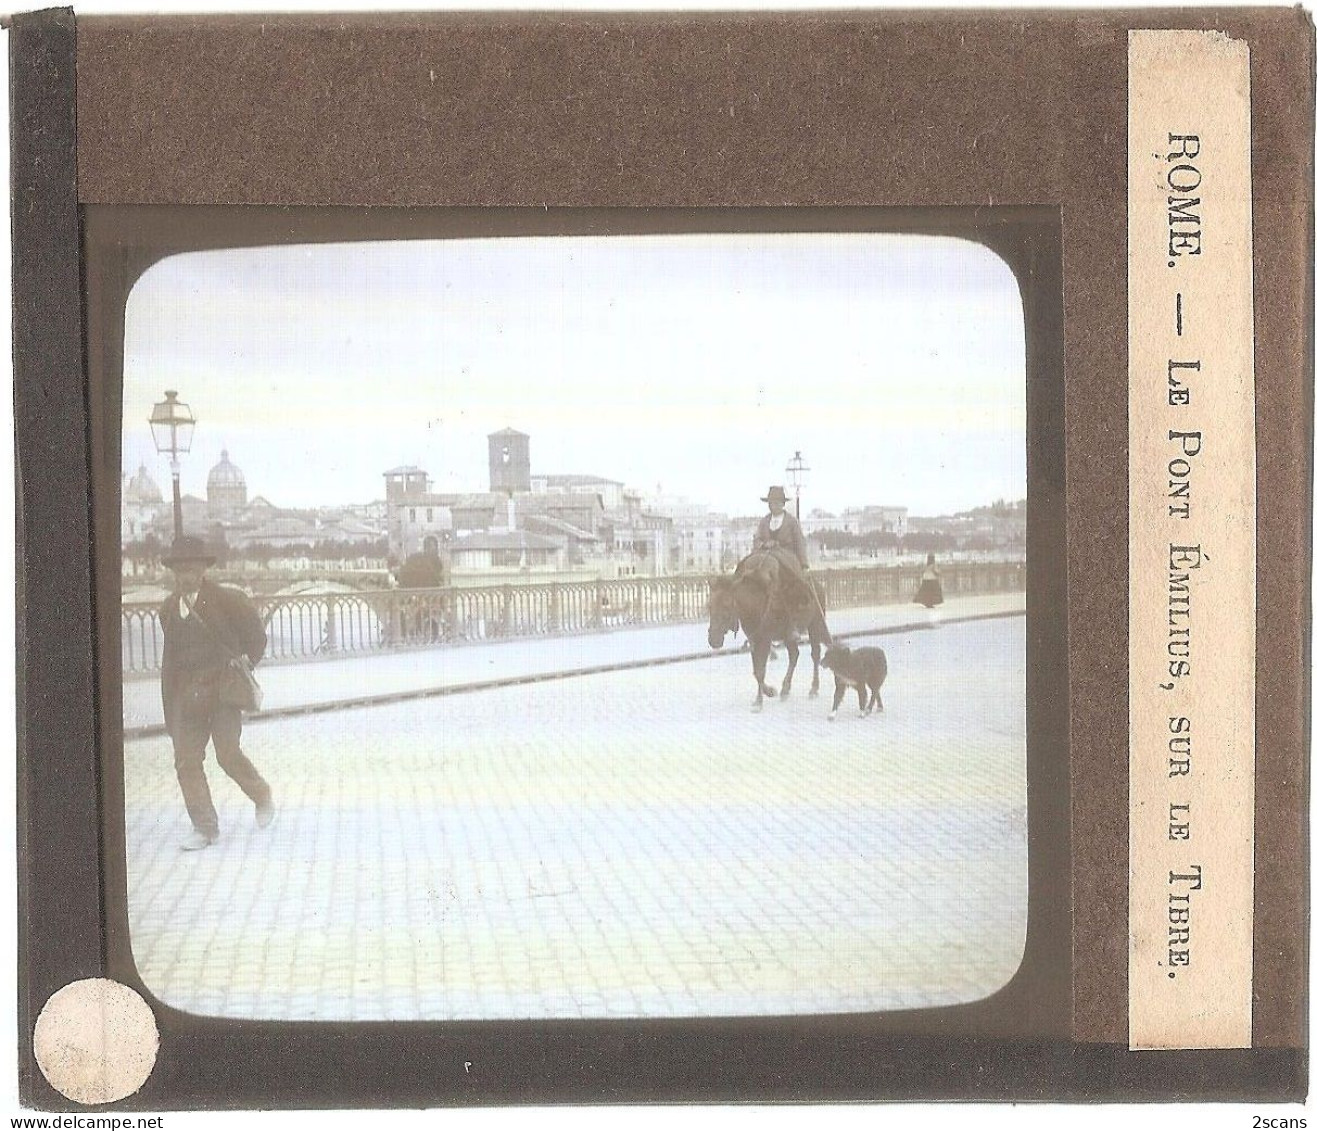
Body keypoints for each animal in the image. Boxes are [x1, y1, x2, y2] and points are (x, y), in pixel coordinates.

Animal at [711, 552, 832, 710]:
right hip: (789, 636)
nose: (713, 640)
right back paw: (785, 689)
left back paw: (813, 688)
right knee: (794, 655)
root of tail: (818, 587)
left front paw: (760, 701)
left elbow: (760, 671)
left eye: (725, 607)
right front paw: (768, 692)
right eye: (709, 606)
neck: (755, 604)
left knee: (815, 654)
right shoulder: (754, 640)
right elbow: (756, 670)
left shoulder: (765, 639)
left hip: (814, 626)